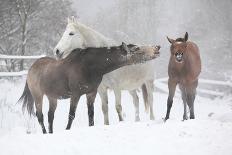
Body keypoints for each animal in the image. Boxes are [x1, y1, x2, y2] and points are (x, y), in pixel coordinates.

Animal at [18, 42, 160, 133]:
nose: (157, 48)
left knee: (50, 116)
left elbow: (91, 114)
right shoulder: (75, 95)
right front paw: (67, 129)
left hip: (52, 97)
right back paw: (45, 133)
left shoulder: (92, 93)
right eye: (138, 49)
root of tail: (31, 69)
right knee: (40, 116)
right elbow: (71, 115)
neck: (89, 66)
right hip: (38, 96)